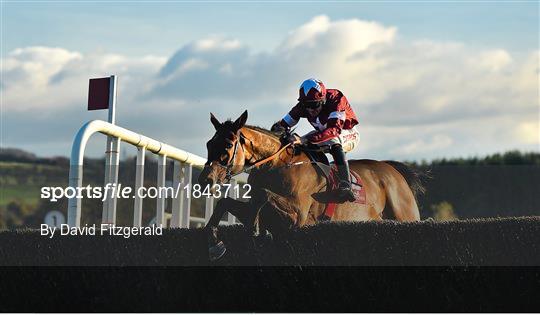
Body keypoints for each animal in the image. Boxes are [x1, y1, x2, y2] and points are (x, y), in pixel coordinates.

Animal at [199, 110, 426, 260]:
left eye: (228, 145)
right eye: (209, 144)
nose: (205, 179)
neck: (277, 164)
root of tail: (395, 171)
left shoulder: (298, 217)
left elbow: (263, 195)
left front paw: (255, 229)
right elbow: (226, 203)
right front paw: (216, 245)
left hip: (405, 216)